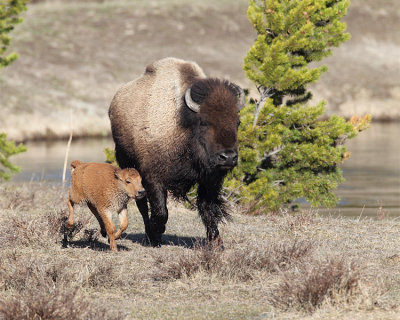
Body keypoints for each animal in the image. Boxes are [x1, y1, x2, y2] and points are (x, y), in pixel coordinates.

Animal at [109, 57, 247, 248]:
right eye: (203, 121)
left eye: (237, 122)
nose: (228, 157)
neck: (182, 125)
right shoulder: (153, 177)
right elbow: (161, 211)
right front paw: (156, 234)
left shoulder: (209, 180)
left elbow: (208, 209)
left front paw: (215, 242)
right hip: (127, 163)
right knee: (141, 204)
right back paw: (150, 235)